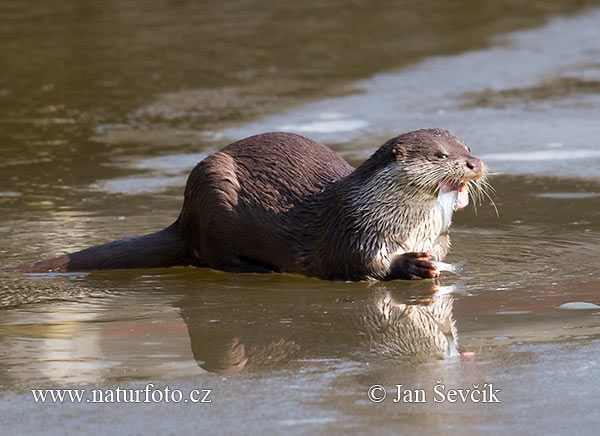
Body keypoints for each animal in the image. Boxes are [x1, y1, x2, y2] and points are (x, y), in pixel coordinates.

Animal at [14, 127, 488, 282]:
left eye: (466, 146)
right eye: (440, 155)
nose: (475, 163)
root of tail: (183, 215)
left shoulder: (435, 237)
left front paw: (434, 263)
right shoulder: (352, 230)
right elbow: (357, 264)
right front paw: (411, 266)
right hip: (212, 189)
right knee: (215, 256)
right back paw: (256, 268)